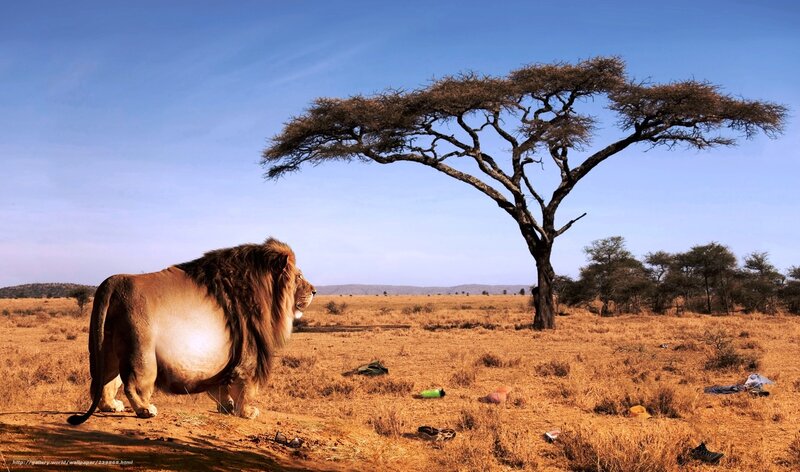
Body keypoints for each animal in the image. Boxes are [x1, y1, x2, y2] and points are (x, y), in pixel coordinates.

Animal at [67, 238, 315, 425]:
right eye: (299, 276)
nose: (314, 291)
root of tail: (113, 282)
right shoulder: (248, 354)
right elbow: (245, 387)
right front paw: (246, 412)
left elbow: (221, 387)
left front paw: (227, 407)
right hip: (142, 352)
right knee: (132, 384)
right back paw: (146, 410)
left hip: (104, 348)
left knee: (103, 381)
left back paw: (111, 406)